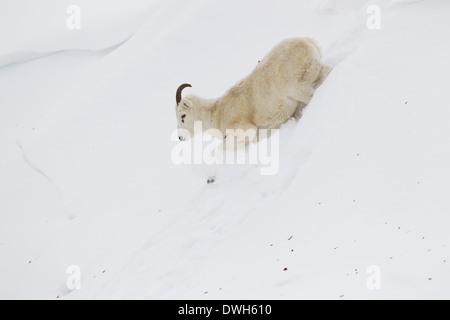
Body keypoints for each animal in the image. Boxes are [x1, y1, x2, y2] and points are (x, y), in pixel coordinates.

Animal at [176, 37, 330, 146]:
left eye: (183, 116)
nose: (180, 137)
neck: (217, 115)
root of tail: (306, 42)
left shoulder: (246, 131)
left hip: (299, 89)